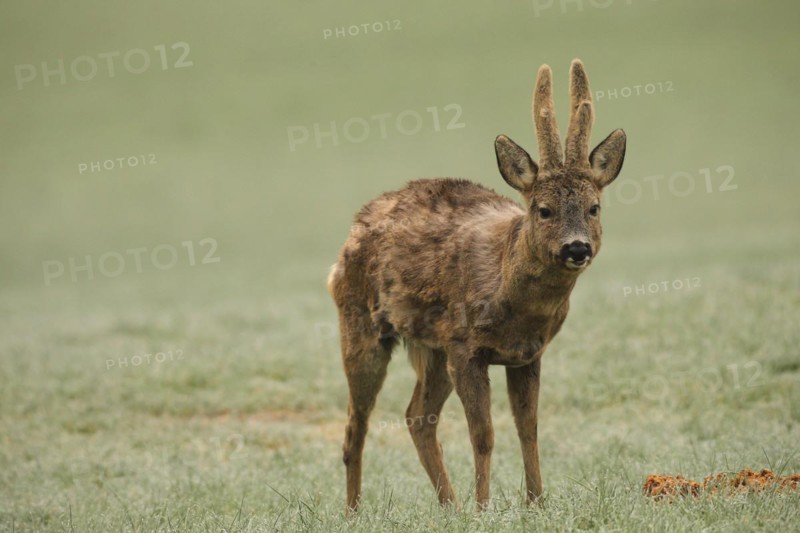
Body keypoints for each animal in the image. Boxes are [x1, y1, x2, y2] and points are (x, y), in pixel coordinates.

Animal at [327, 59, 626, 512]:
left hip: (432, 347)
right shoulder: (466, 346)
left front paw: (535, 503)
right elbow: (482, 435)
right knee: (354, 427)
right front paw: (485, 508)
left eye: (594, 208)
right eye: (543, 209)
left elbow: (528, 429)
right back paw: (354, 513)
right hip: (361, 323)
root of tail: (354, 227)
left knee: (416, 416)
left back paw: (449, 505)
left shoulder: (526, 354)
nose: (576, 247)